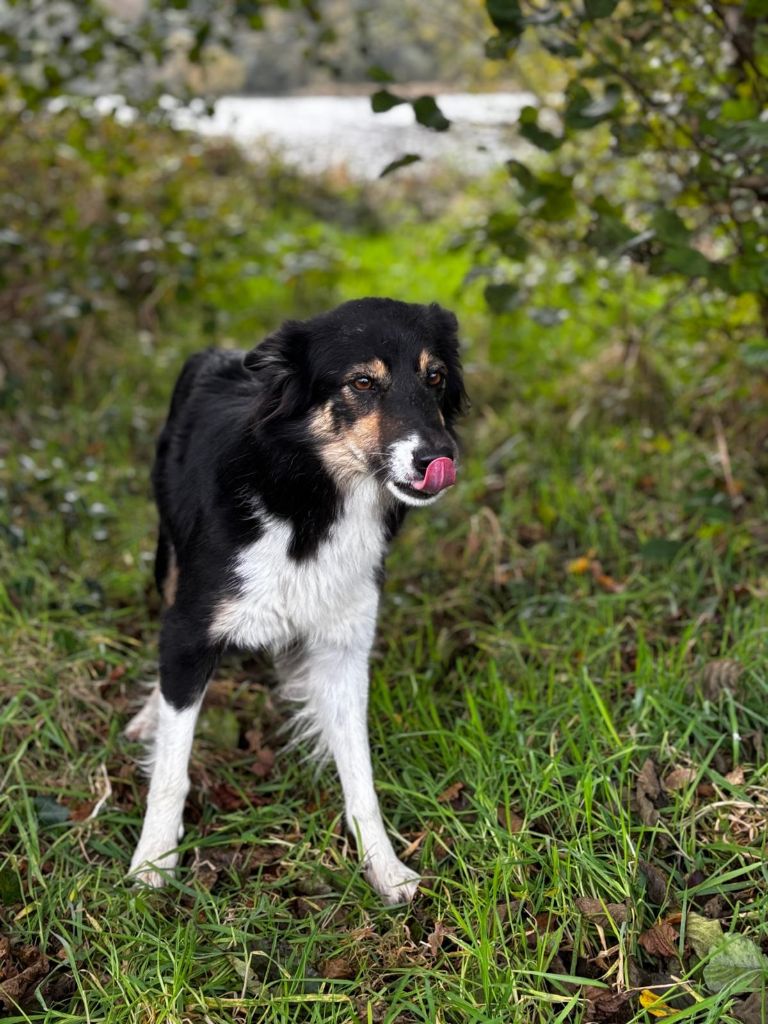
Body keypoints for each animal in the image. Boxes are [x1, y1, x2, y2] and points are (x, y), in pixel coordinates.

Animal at [124, 296, 468, 905]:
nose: (440, 457)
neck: (311, 501)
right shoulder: (191, 629)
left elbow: (361, 775)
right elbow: (172, 768)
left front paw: (384, 868)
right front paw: (153, 863)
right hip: (169, 560)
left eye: (436, 377)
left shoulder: (344, 647)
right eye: (361, 382)